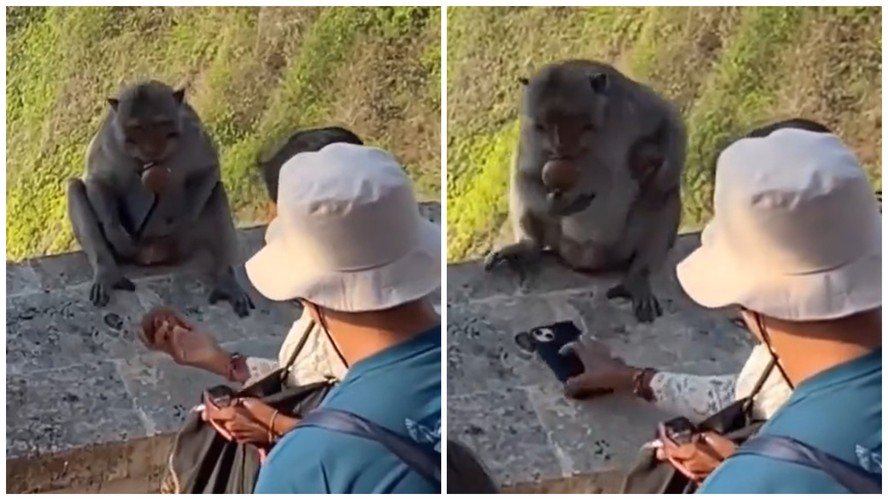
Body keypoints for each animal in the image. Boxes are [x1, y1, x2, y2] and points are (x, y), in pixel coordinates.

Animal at [67, 80, 255, 317]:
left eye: (160, 124)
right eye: (136, 128)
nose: (151, 149)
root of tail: (151, 255)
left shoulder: (193, 130)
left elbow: (208, 170)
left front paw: (183, 222)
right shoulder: (109, 139)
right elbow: (98, 180)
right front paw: (116, 232)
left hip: (181, 246)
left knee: (217, 193)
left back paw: (226, 281)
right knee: (75, 188)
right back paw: (107, 272)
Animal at [484, 60, 687, 323]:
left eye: (570, 120)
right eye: (544, 125)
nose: (558, 145)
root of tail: (586, 260)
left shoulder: (632, 104)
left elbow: (668, 120)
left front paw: (663, 173)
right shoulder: (530, 132)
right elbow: (526, 172)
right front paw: (560, 203)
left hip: (622, 245)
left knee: (664, 199)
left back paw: (639, 275)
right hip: (560, 241)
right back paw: (528, 245)